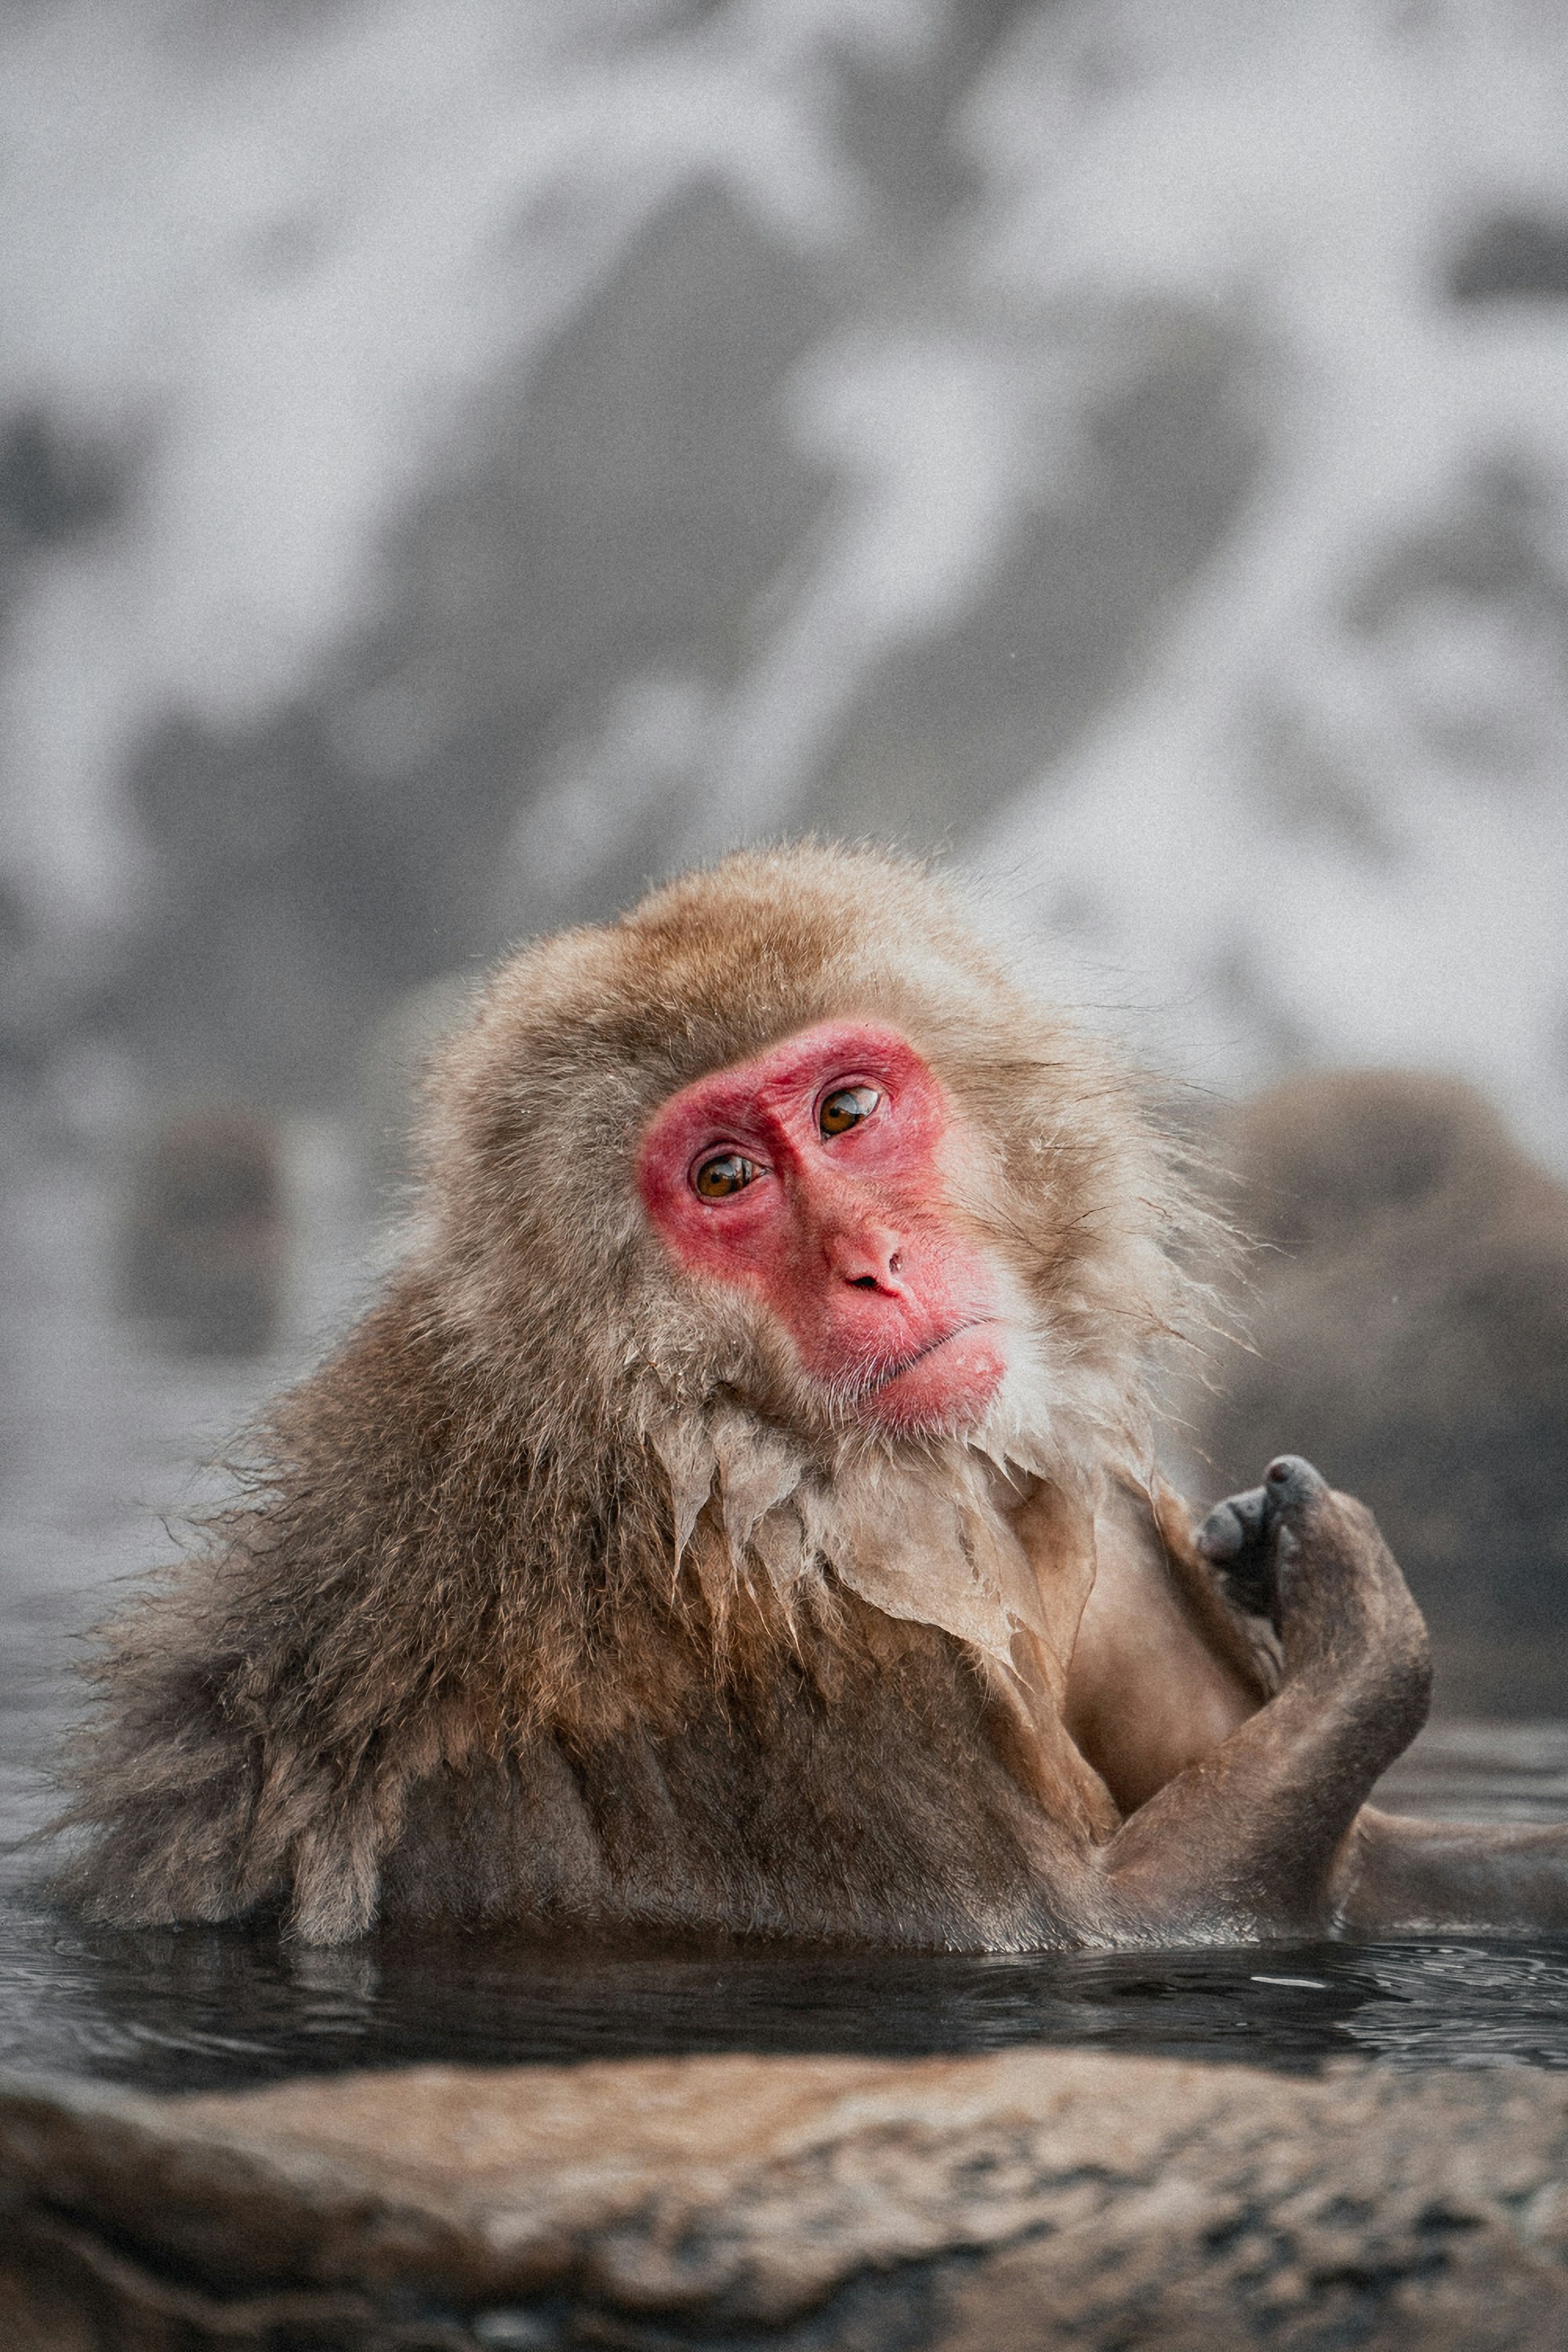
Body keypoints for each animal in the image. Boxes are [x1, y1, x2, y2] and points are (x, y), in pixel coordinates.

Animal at [55, 843, 1568, 1948]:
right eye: (725, 1176)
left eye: (846, 1110)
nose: (870, 1260)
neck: (724, 1469)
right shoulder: (787, 1679)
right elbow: (1103, 1935)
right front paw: (1358, 1622)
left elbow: (1369, 1871)